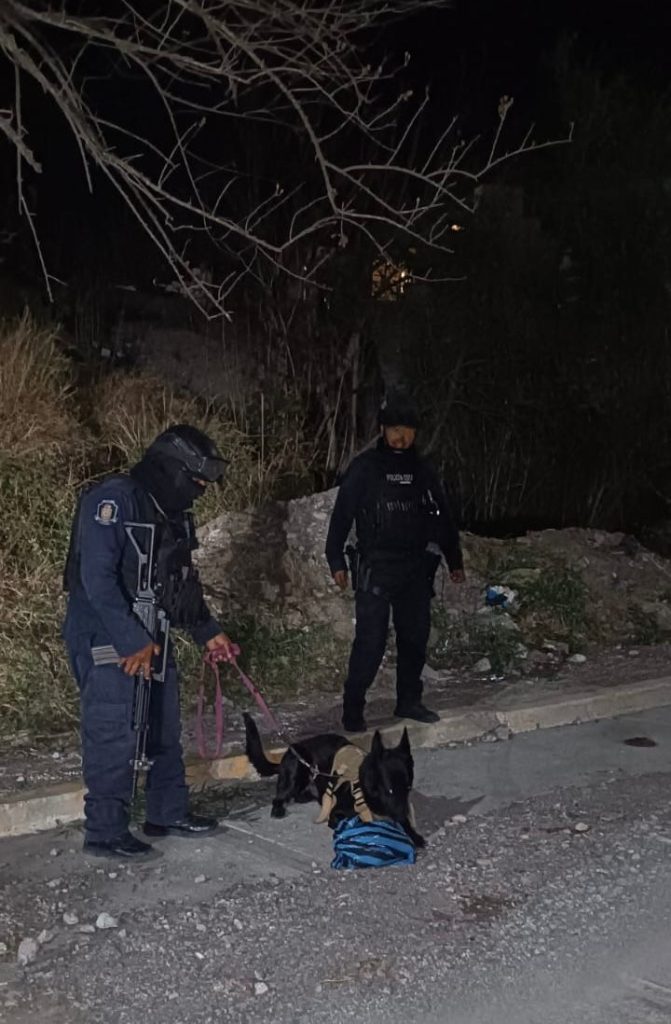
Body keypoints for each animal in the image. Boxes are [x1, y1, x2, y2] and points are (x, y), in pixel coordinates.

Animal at [243, 713, 425, 847]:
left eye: (408, 788)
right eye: (389, 790)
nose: (402, 815)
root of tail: (290, 751)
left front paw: (413, 834)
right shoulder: (336, 814)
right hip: (297, 766)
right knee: (279, 797)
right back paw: (279, 808)